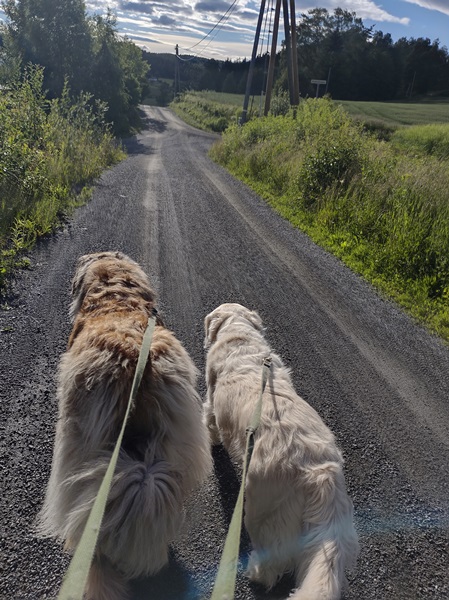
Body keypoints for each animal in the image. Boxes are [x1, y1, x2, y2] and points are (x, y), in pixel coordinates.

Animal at [203, 304, 356, 600]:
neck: (240, 336)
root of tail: (318, 470)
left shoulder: (212, 399)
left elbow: (210, 420)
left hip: (261, 508)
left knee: (273, 558)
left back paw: (255, 571)